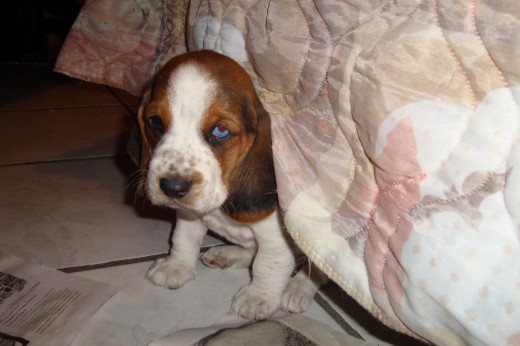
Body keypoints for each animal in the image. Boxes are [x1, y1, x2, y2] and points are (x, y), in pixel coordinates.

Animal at [136, 50, 328, 320]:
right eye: (155, 122)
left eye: (220, 130)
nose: (173, 188)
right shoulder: (190, 214)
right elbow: (183, 239)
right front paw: (176, 267)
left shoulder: (275, 237)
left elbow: (267, 264)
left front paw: (258, 297)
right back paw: (225, 254)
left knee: (316, 272)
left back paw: (297, 289)